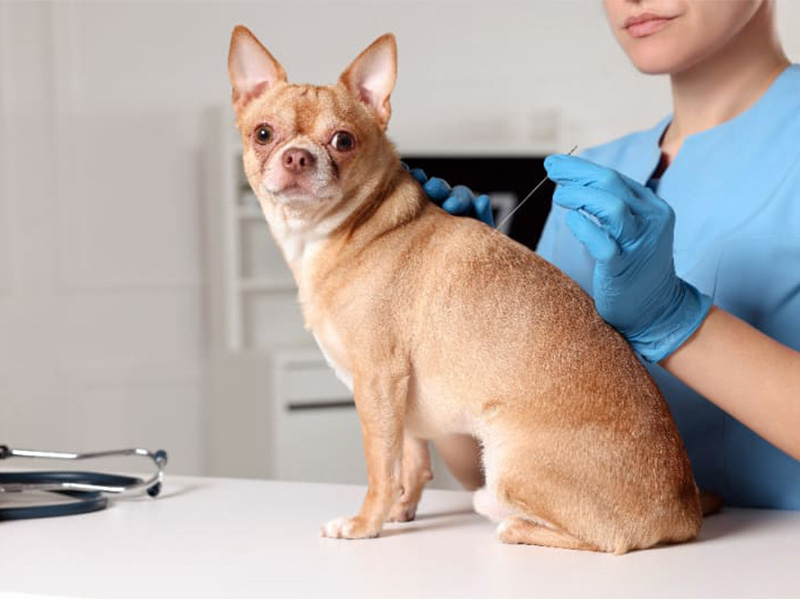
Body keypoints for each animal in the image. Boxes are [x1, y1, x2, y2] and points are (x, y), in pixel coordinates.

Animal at [225, 27, 700, 552]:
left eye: (343, 141)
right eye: (263, 134)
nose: (297, 156)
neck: (348, 231)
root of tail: (685, 511)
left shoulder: (376, 382)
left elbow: (380, 465)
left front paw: (365, 523)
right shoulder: (399, 397)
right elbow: (410, 459)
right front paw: (400, 510)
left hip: (509, 463)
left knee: (606, 539)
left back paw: (511, 524)